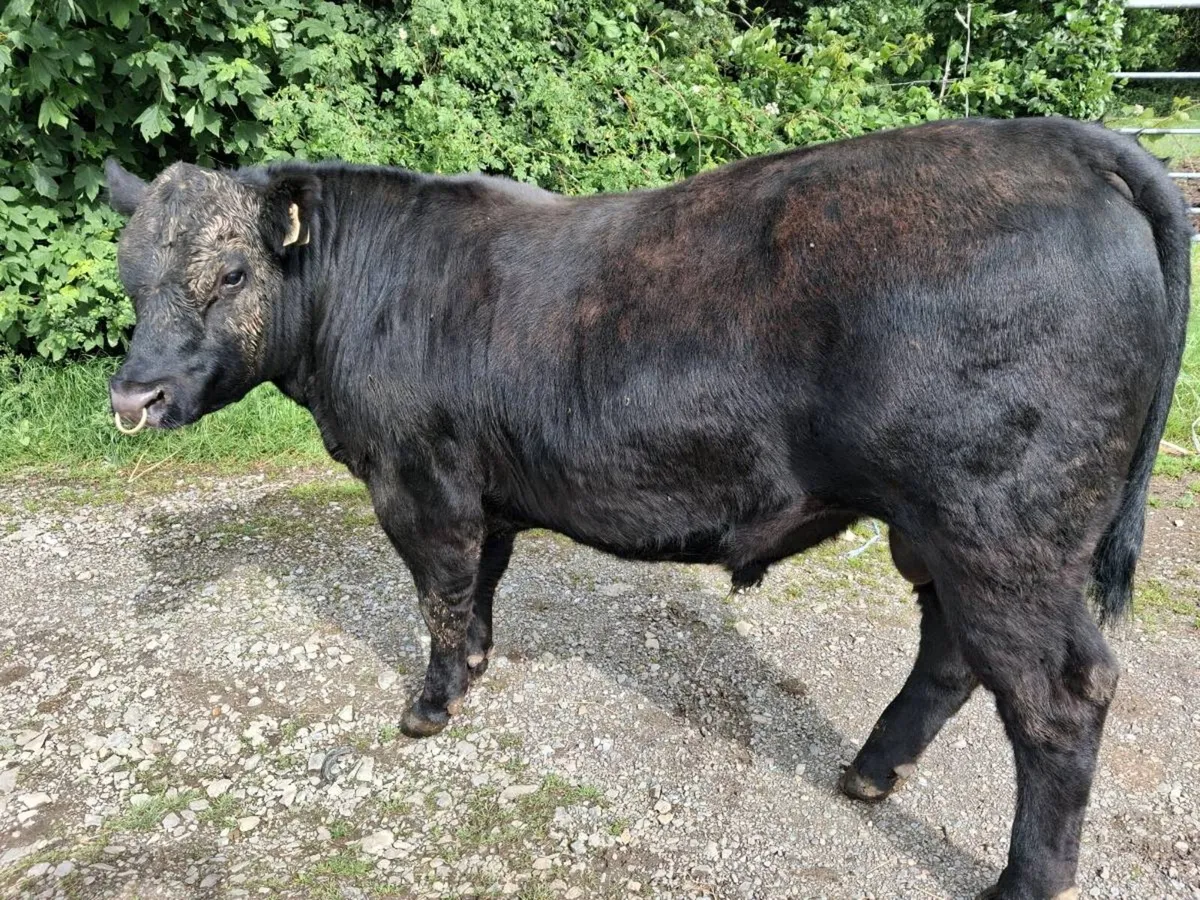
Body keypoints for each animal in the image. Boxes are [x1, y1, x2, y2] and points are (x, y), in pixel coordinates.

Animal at [103, 116, 1190, 900]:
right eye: (131, 276)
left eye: (232, 270)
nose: (133, 397)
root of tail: (1072, 143)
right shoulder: (484, 490)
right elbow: (479, 588)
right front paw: (476, 669)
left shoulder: (418, 480)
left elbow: (442, 593)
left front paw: (431, 704)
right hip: (946, 531)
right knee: (955, 653)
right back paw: (871, 771)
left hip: (1001, 527)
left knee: (1060, 695)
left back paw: (1019, 881)